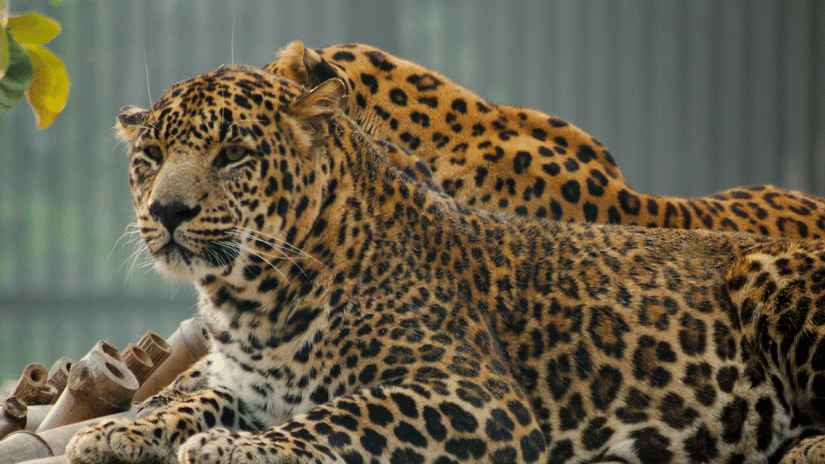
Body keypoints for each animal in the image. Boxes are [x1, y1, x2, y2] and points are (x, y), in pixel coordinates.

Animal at [64, 65, 825, 464]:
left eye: (233, 155)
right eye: (151, 158)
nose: (167, 211)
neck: (248, 296)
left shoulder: (475, 396)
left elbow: (342, 412)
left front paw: (227, 448)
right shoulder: (241, 379)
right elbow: (186, 394)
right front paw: (115, 430)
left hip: (777, 289)